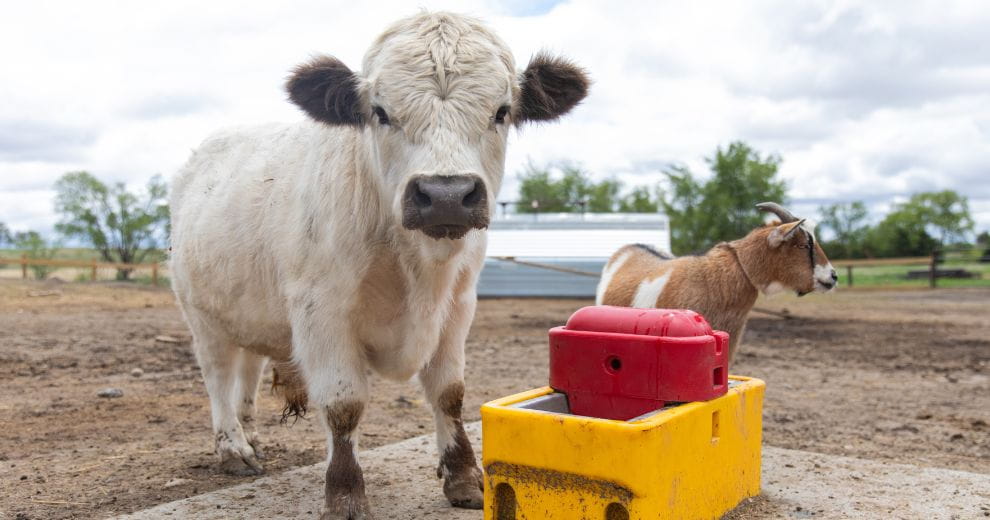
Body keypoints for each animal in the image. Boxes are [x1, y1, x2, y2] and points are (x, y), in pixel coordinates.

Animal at [168, 11, 589, 519]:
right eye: (381, 112)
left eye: (502, 111)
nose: (445, 195)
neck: (418, 266)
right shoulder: (322, 314)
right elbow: (343, 405)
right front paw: (345, 494)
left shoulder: (458, 307)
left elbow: (449, 393)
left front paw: (464, 478)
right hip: (201, 317)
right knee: (218, 378)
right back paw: (232, 448)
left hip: (249, 315)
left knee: (246, 375)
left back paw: (251, 437)